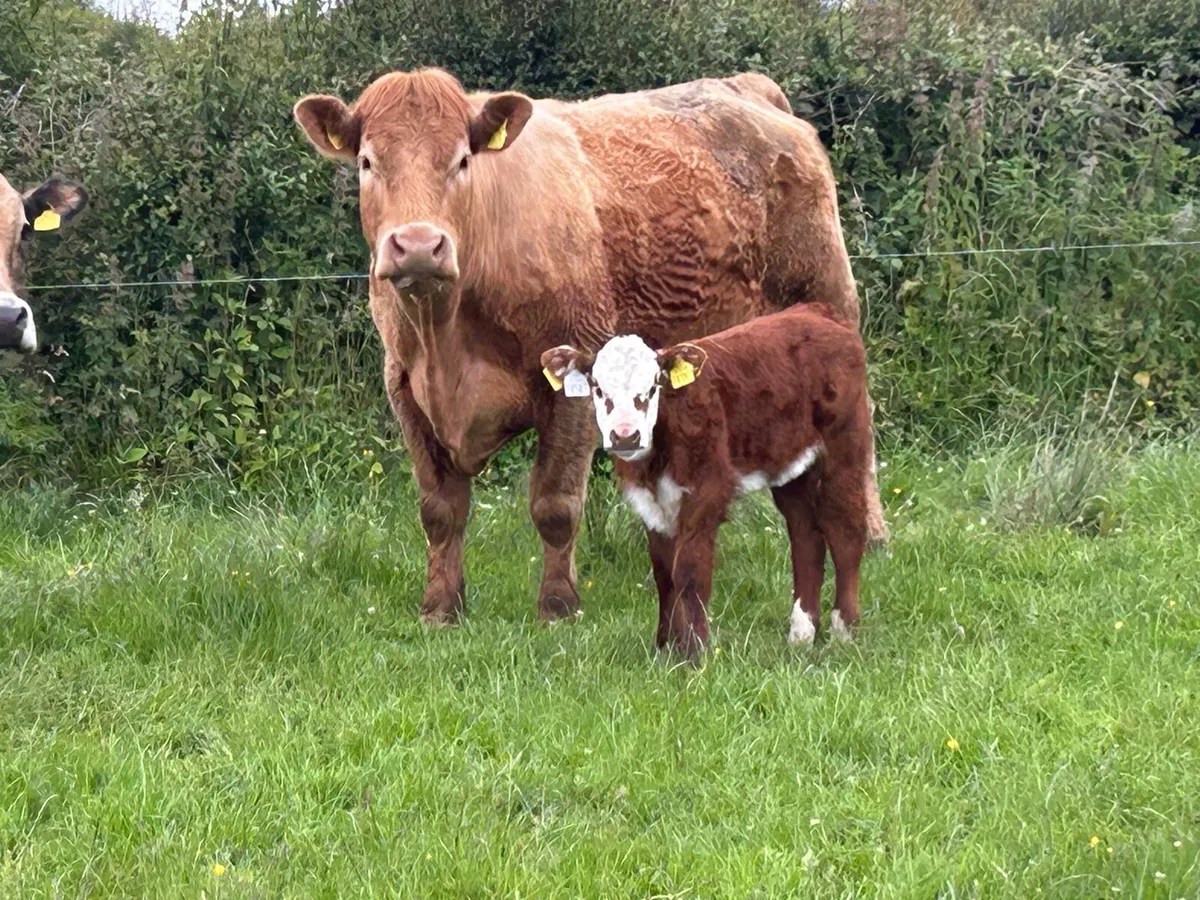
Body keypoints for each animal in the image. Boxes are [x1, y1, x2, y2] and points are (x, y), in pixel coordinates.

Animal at [541, 303, 872, 657]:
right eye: (598, 388)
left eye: (653, 387)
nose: (625, 436)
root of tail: (817, 313)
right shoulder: (650, 502)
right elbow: (664, 572)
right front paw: (666, 647)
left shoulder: (706, 490)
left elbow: (689, 570)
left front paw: (695, 652)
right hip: (790, 465)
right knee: (805, 535)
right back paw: (801, 634)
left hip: (845, 444)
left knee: (844, 529)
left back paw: (844, 630)